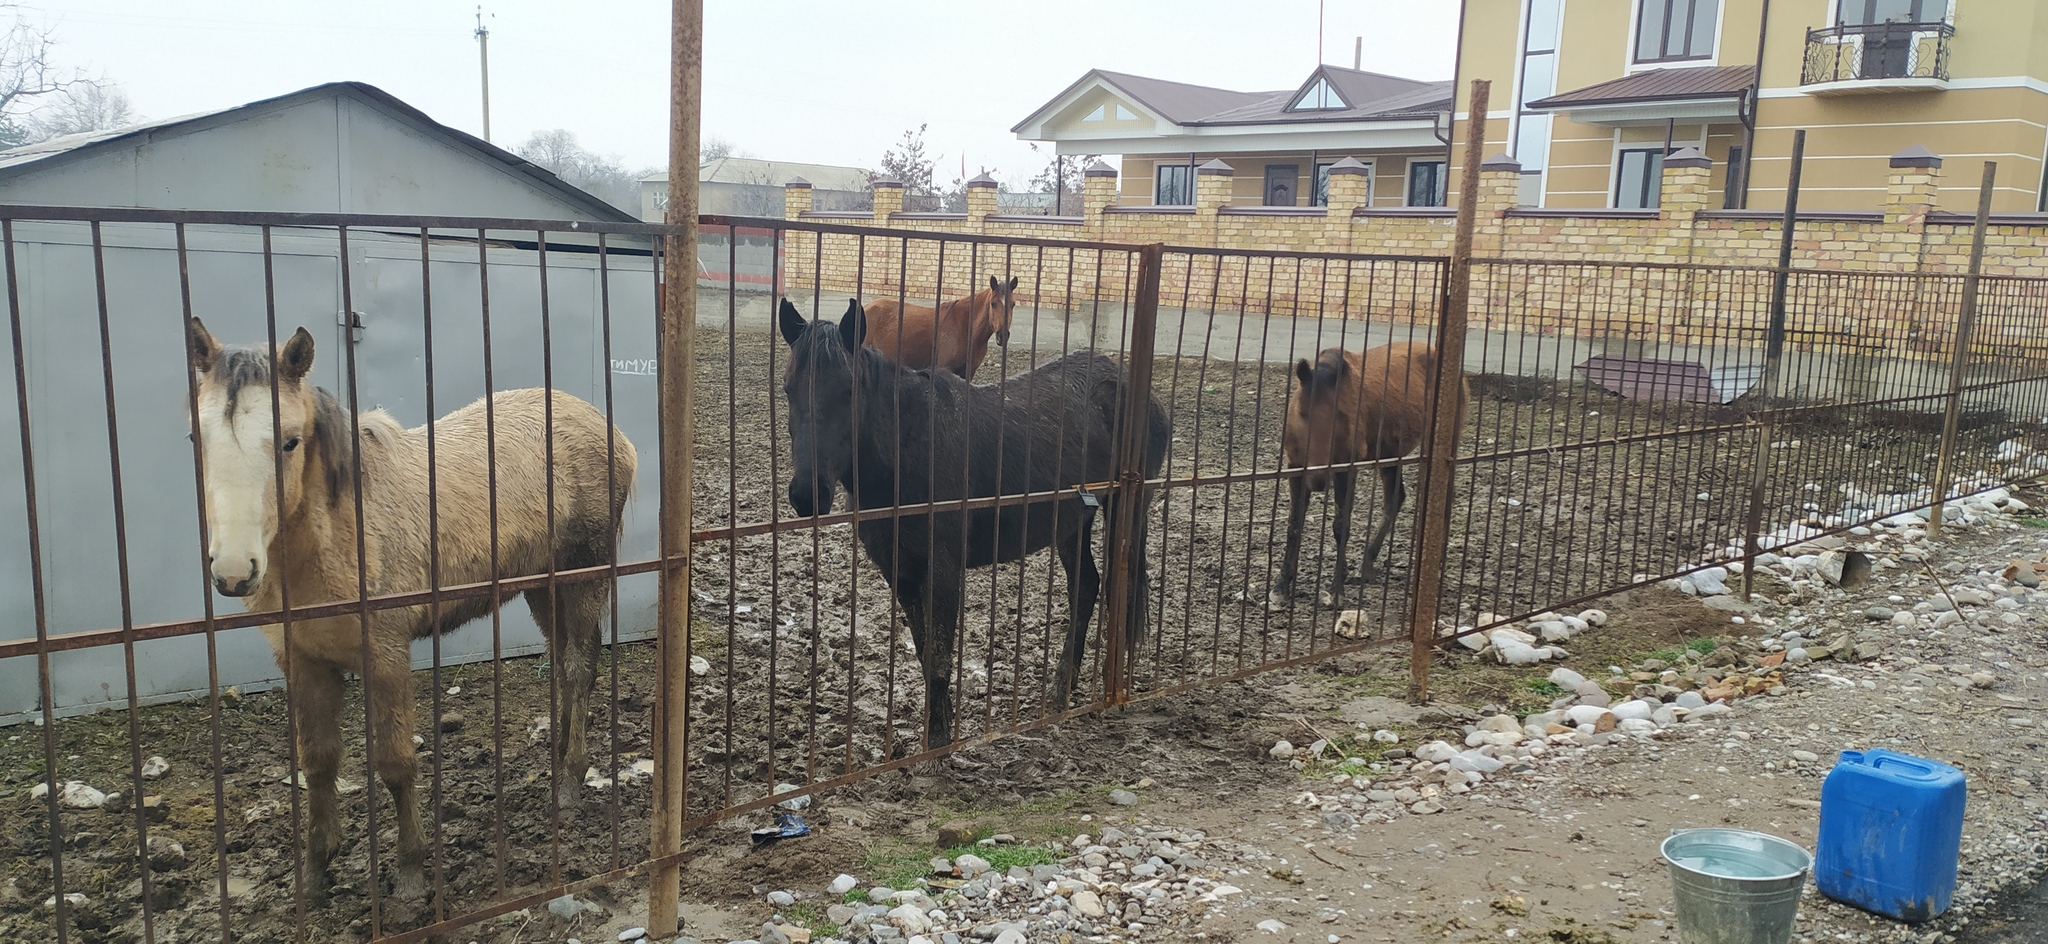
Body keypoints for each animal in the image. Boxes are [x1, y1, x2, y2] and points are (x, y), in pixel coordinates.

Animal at [185, 319, 634, 900]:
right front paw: (316, 870)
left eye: (289, 441)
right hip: (541, 585)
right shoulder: (304, 664)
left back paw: (571, 782)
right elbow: (318, 763)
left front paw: (411, 873)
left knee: (579, 669)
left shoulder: (386, 658)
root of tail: (608, 428)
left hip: (583, 577)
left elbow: (396, 764)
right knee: (562, 662)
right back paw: (557, 758)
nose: (234, 572)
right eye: (196, 439)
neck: (339, 534)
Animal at [778, 298, 1171, 745]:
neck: (909, 448)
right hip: (1072, 521)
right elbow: (924, 650)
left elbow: (939, 655)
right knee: (1085, 587)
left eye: (848, 390)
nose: (807, 495)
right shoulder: (900, 571)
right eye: (788, 389)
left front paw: (938, 743)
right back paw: (1061, 687)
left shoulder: (944, 569)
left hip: (1126, 510)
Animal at [1269, 341, 1466, 606]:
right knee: (1395, 499)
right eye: (1302, 413)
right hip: (1390, 452)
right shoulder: (1296, 470)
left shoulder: (1345, 469)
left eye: (1341, 415)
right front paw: (1281, 586)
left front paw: (1336, 590)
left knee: (1443, 497)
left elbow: (1341, 526)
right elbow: (1294, 526)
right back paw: (1367, 564)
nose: (1319, 480)